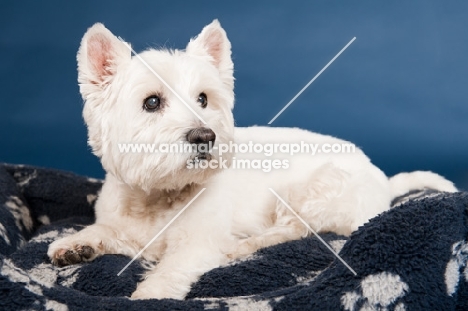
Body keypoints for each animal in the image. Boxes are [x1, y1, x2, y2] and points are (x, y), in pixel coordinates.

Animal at [47, 20, 458, 300]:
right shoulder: (128, 228)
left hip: (313, 189)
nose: (205, 136)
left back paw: (244, 247)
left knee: (299, 230)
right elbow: (107, 231)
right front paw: (77, 244)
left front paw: (149, 295)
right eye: (151, 102)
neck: (159, 196)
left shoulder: (196, 245)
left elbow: (171, 268)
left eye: (203, 99)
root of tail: (384, 181)